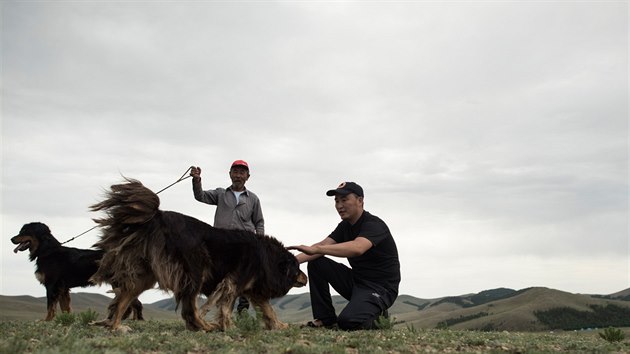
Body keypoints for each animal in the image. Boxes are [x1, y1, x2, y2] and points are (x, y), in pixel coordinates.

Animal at [12, 223, 144, 322]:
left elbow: (50, 306)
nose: (11, 239)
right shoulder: (63, 288)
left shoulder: (52, 286)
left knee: (134, 304)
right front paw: (66, 320)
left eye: (24, 231)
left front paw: (47, 320)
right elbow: (65, 308)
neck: (47, 250)